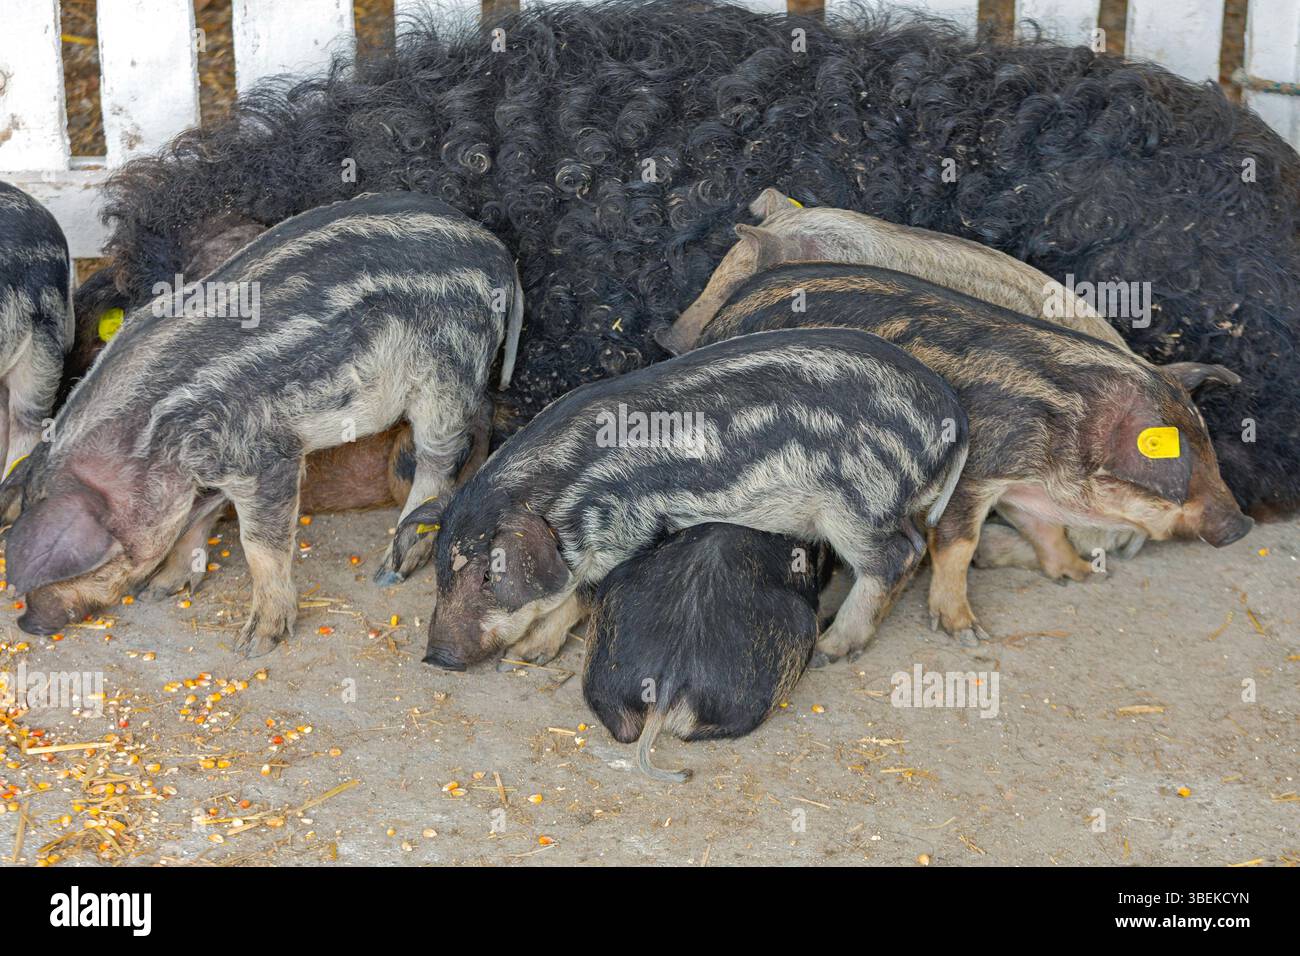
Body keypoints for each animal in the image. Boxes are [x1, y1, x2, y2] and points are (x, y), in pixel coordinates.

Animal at [2, 192, 522, 655]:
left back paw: (389, 569)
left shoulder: (268, 458)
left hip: (447, 375)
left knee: (441, 457)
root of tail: (497, 251)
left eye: (88, 565)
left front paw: (253, 645)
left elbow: (258, 545)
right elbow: (199, 517)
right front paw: (163, 589)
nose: (29, 623)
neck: (150, 438)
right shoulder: (210, 471)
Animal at [411, 326, 969, 670]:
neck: (570, 491)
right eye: (440, 572)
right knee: (915, 545)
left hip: (859, 505)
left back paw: (830, 647)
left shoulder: (631, 530)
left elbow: (581, 595)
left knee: (894, 559)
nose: (435, 656)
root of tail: (952, 415)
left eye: (489, 575)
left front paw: (529, 654)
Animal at [697, 263, 1253, 646]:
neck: (1062, 433)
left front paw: (1079, 575)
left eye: (1211, 455)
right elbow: (958, 546)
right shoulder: (974, 477)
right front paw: (968, 634)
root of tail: (715, 324)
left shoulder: (1020, 487)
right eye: (1168, 479)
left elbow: (1045, 529)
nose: (1243, 526)